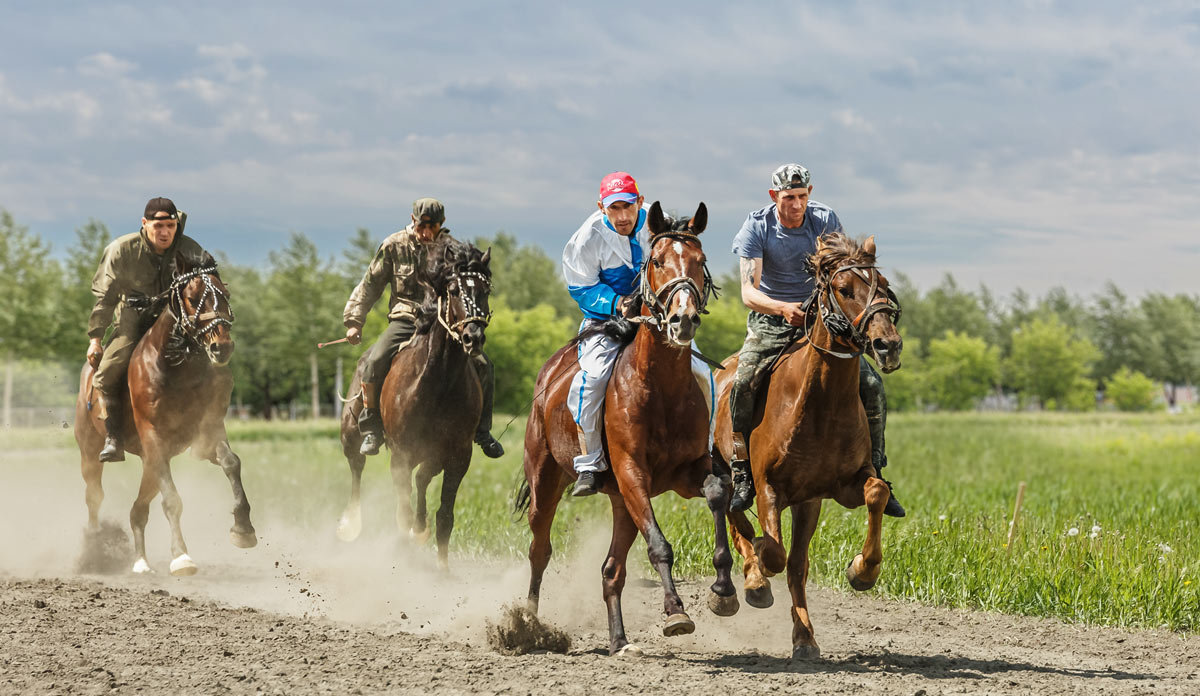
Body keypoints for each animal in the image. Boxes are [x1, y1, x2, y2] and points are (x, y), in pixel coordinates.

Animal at [73, 254, 256, 576]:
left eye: (226, 294)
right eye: (192, 297)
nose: (222, 346)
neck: (176, 366)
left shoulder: (208, 432)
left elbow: (231, 463)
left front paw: (243, 528)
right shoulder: (154, 437)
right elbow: (172, 500)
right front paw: (181, 556)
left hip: (152, 461)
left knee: (138, 509)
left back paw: (141, 561)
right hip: (91, 453)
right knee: (94, 497)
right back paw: (95, 551)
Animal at [511, 198, 734, 657]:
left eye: (699, 260)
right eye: (658, 261)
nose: (683, 319)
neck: (660, 387)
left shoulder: (685, 471)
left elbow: (718, 492)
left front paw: (723, 590)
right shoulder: (633, 473)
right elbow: (660, 546)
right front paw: (675, 612)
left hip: (620, 503)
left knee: (611, 569)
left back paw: (619, 640)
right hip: (546, 481)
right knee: (540, 549)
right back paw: (529, 625)